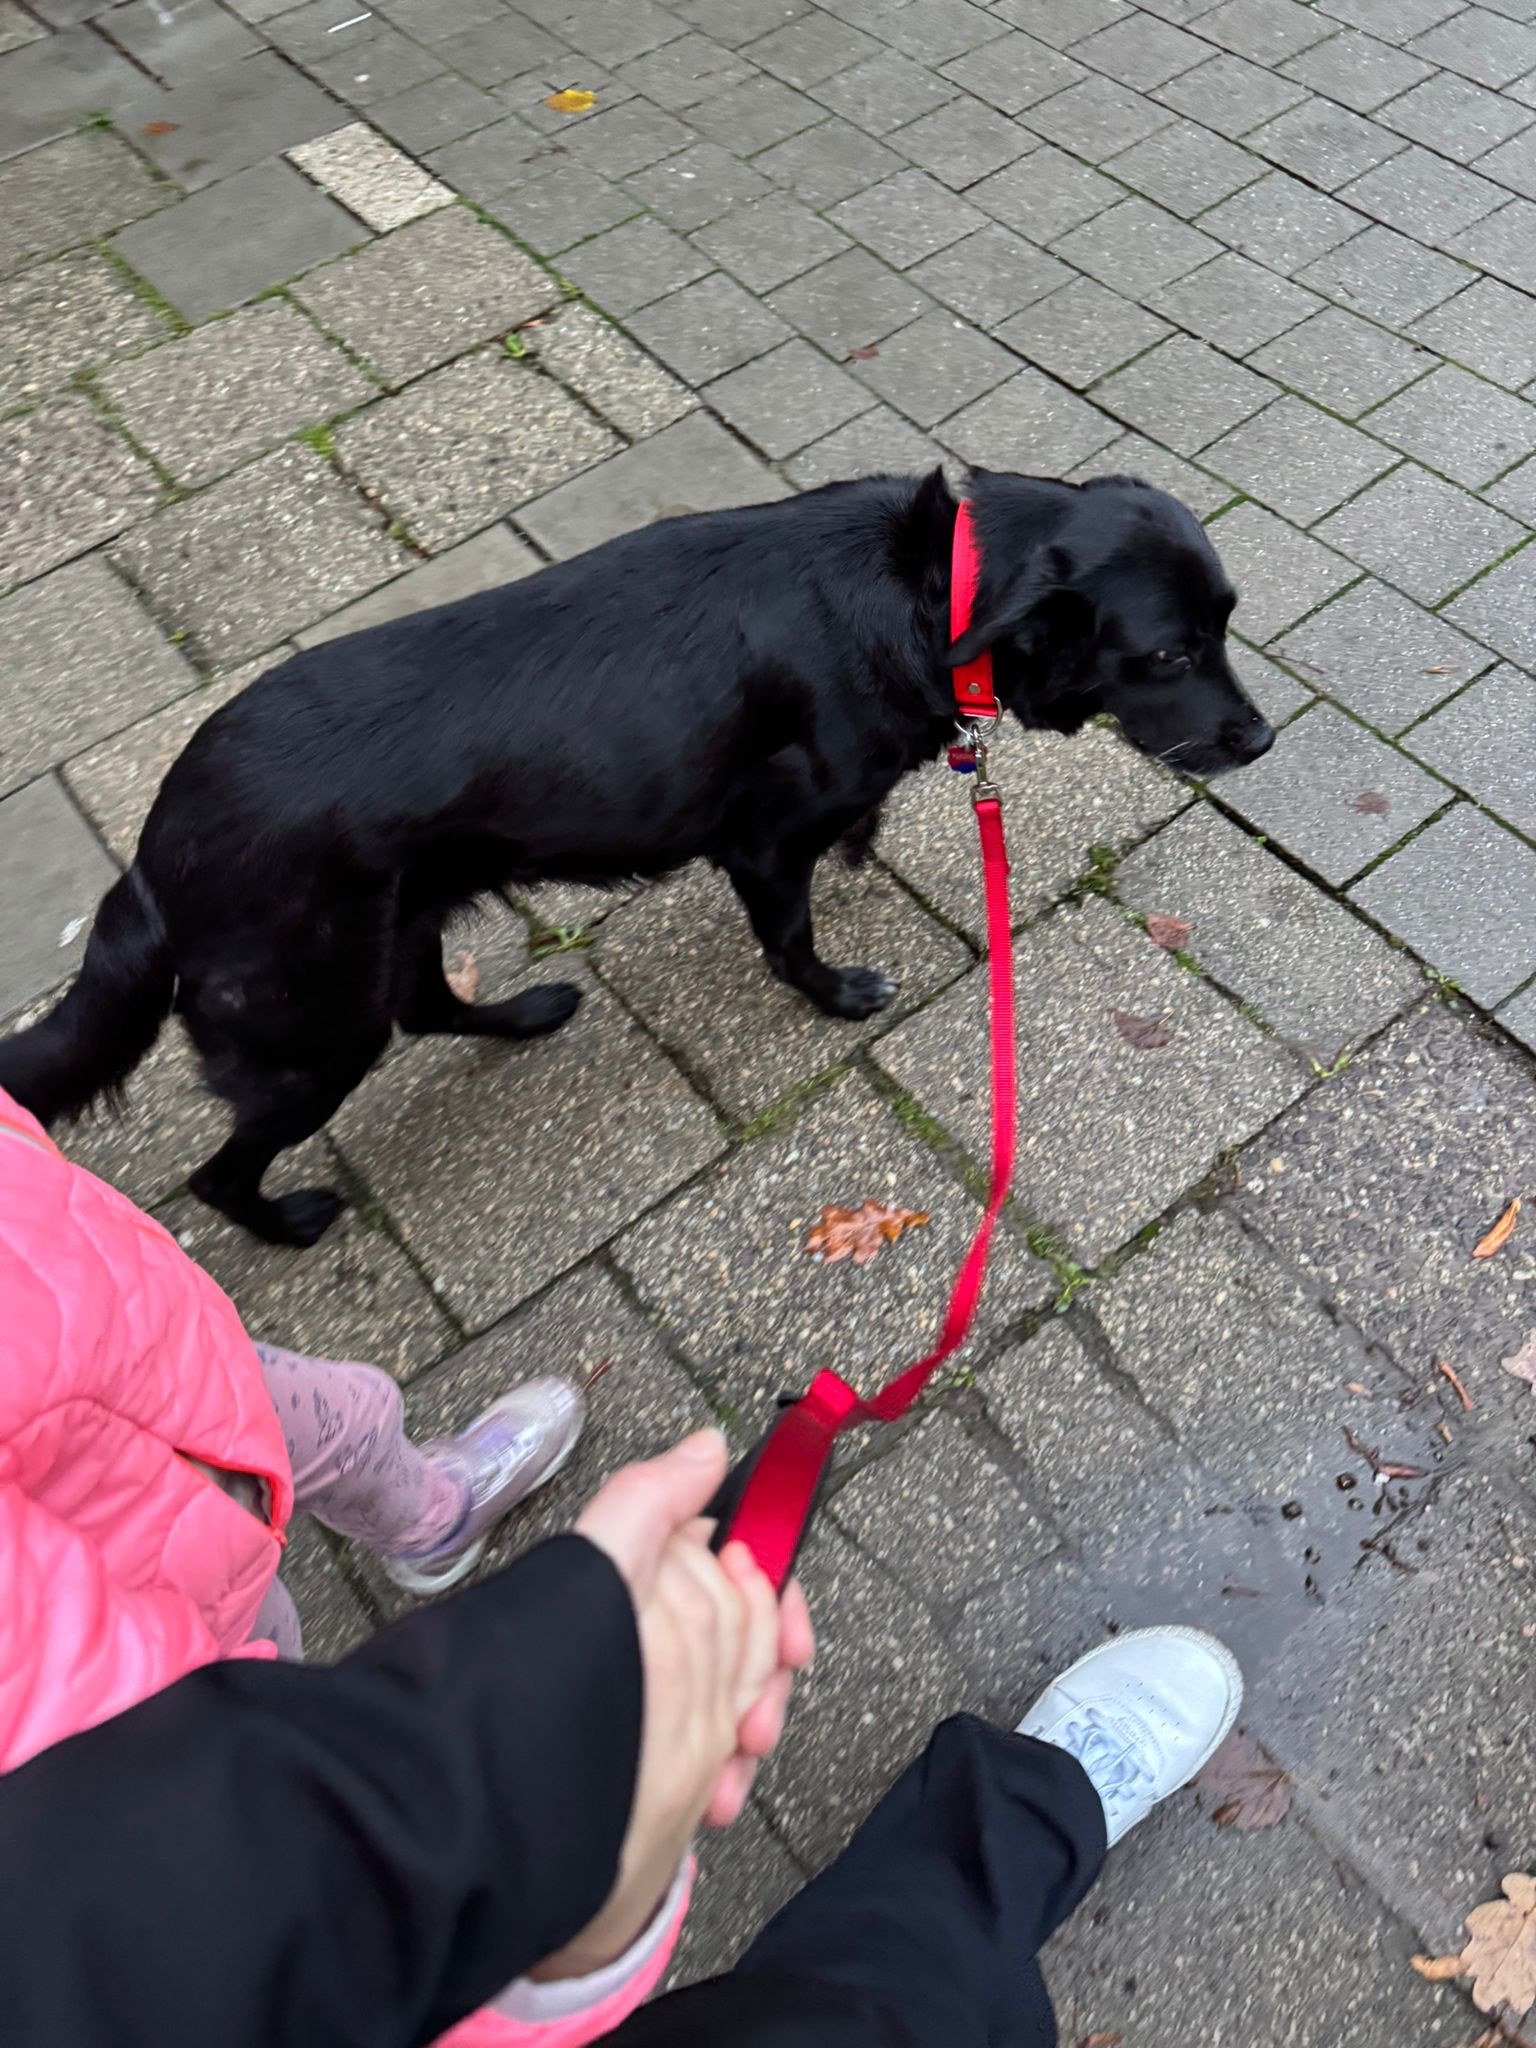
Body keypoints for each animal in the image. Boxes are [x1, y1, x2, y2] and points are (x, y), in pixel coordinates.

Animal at [0, 467, 1271, 1245]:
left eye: (1228, 623)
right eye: (1169, 652)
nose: (1263, 739)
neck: (930, 586)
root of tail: (152, 857)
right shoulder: (763, 843)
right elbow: (791, 938)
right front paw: (838, 993)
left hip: (396, 932)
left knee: (429, 1004)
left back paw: (526, 1014)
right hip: (314, 1028)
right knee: (220, 1172)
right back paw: (288, 1220)